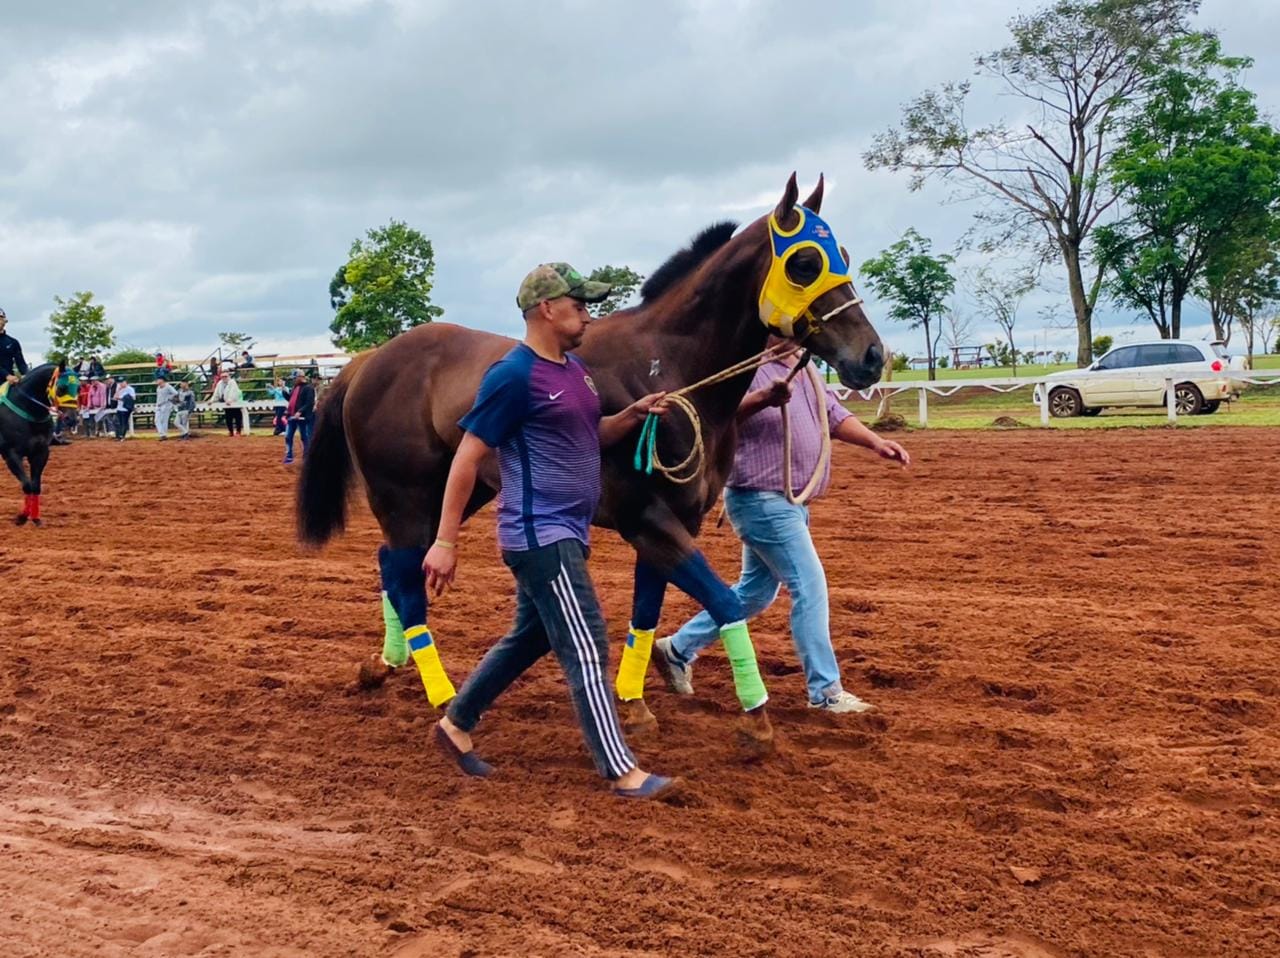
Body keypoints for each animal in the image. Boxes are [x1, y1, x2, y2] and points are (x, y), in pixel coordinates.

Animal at [1, 361, 71, 525]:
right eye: (61, 388)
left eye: (80, 387)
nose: (72, 419)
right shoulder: (11, 454)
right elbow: (27, 485)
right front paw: (21, 517)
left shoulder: (41, 453)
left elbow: (35, 486)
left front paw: (35, 518)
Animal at [295, 175, 885, 753]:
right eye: (805, 262)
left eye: (844, 255)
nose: (873, 355)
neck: (668, 370)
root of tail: (370, 359)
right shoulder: (648, 520)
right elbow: (723, 601)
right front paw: (756, 717)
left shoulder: (676, 523)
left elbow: (647, 612)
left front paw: (635, 704)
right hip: (405, 498)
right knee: (406, 575)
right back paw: (439, 692)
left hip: (454, 494)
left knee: (394, 565)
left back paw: (386, 664)